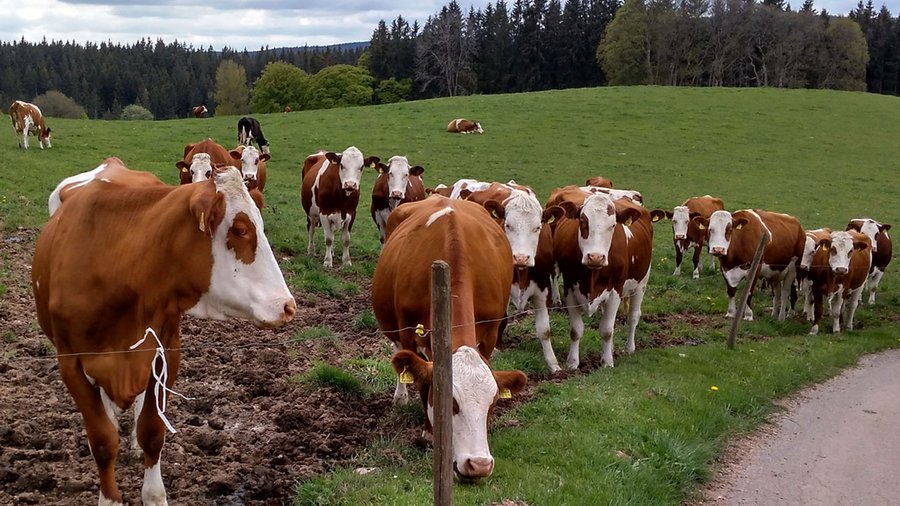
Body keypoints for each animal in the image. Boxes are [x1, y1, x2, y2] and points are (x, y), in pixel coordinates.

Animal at [33, 158, 296, 506]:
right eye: (240, 229)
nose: (287, 306)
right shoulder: (70, 364)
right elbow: (102, 441)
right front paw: (109, 496)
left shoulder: (166, 353)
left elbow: (152, 432)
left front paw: (154, 494)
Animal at [370, 196, 528, 480]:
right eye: (451, 403)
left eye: (493, 403)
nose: (479, 464)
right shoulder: (409, 334)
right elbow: (422, 383)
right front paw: (429, 433)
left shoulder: (489, 333)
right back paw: (400, 396)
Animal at [548, 194, 668, 368]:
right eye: (583, 221)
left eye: (612, 225)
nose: (596, 257)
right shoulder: (570, 288)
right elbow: (576, 330)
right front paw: (572, 362)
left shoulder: (615, 291)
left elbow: (606, 330)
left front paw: (607, 362)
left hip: (642, 283)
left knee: (633, 316)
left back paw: (629, 348)